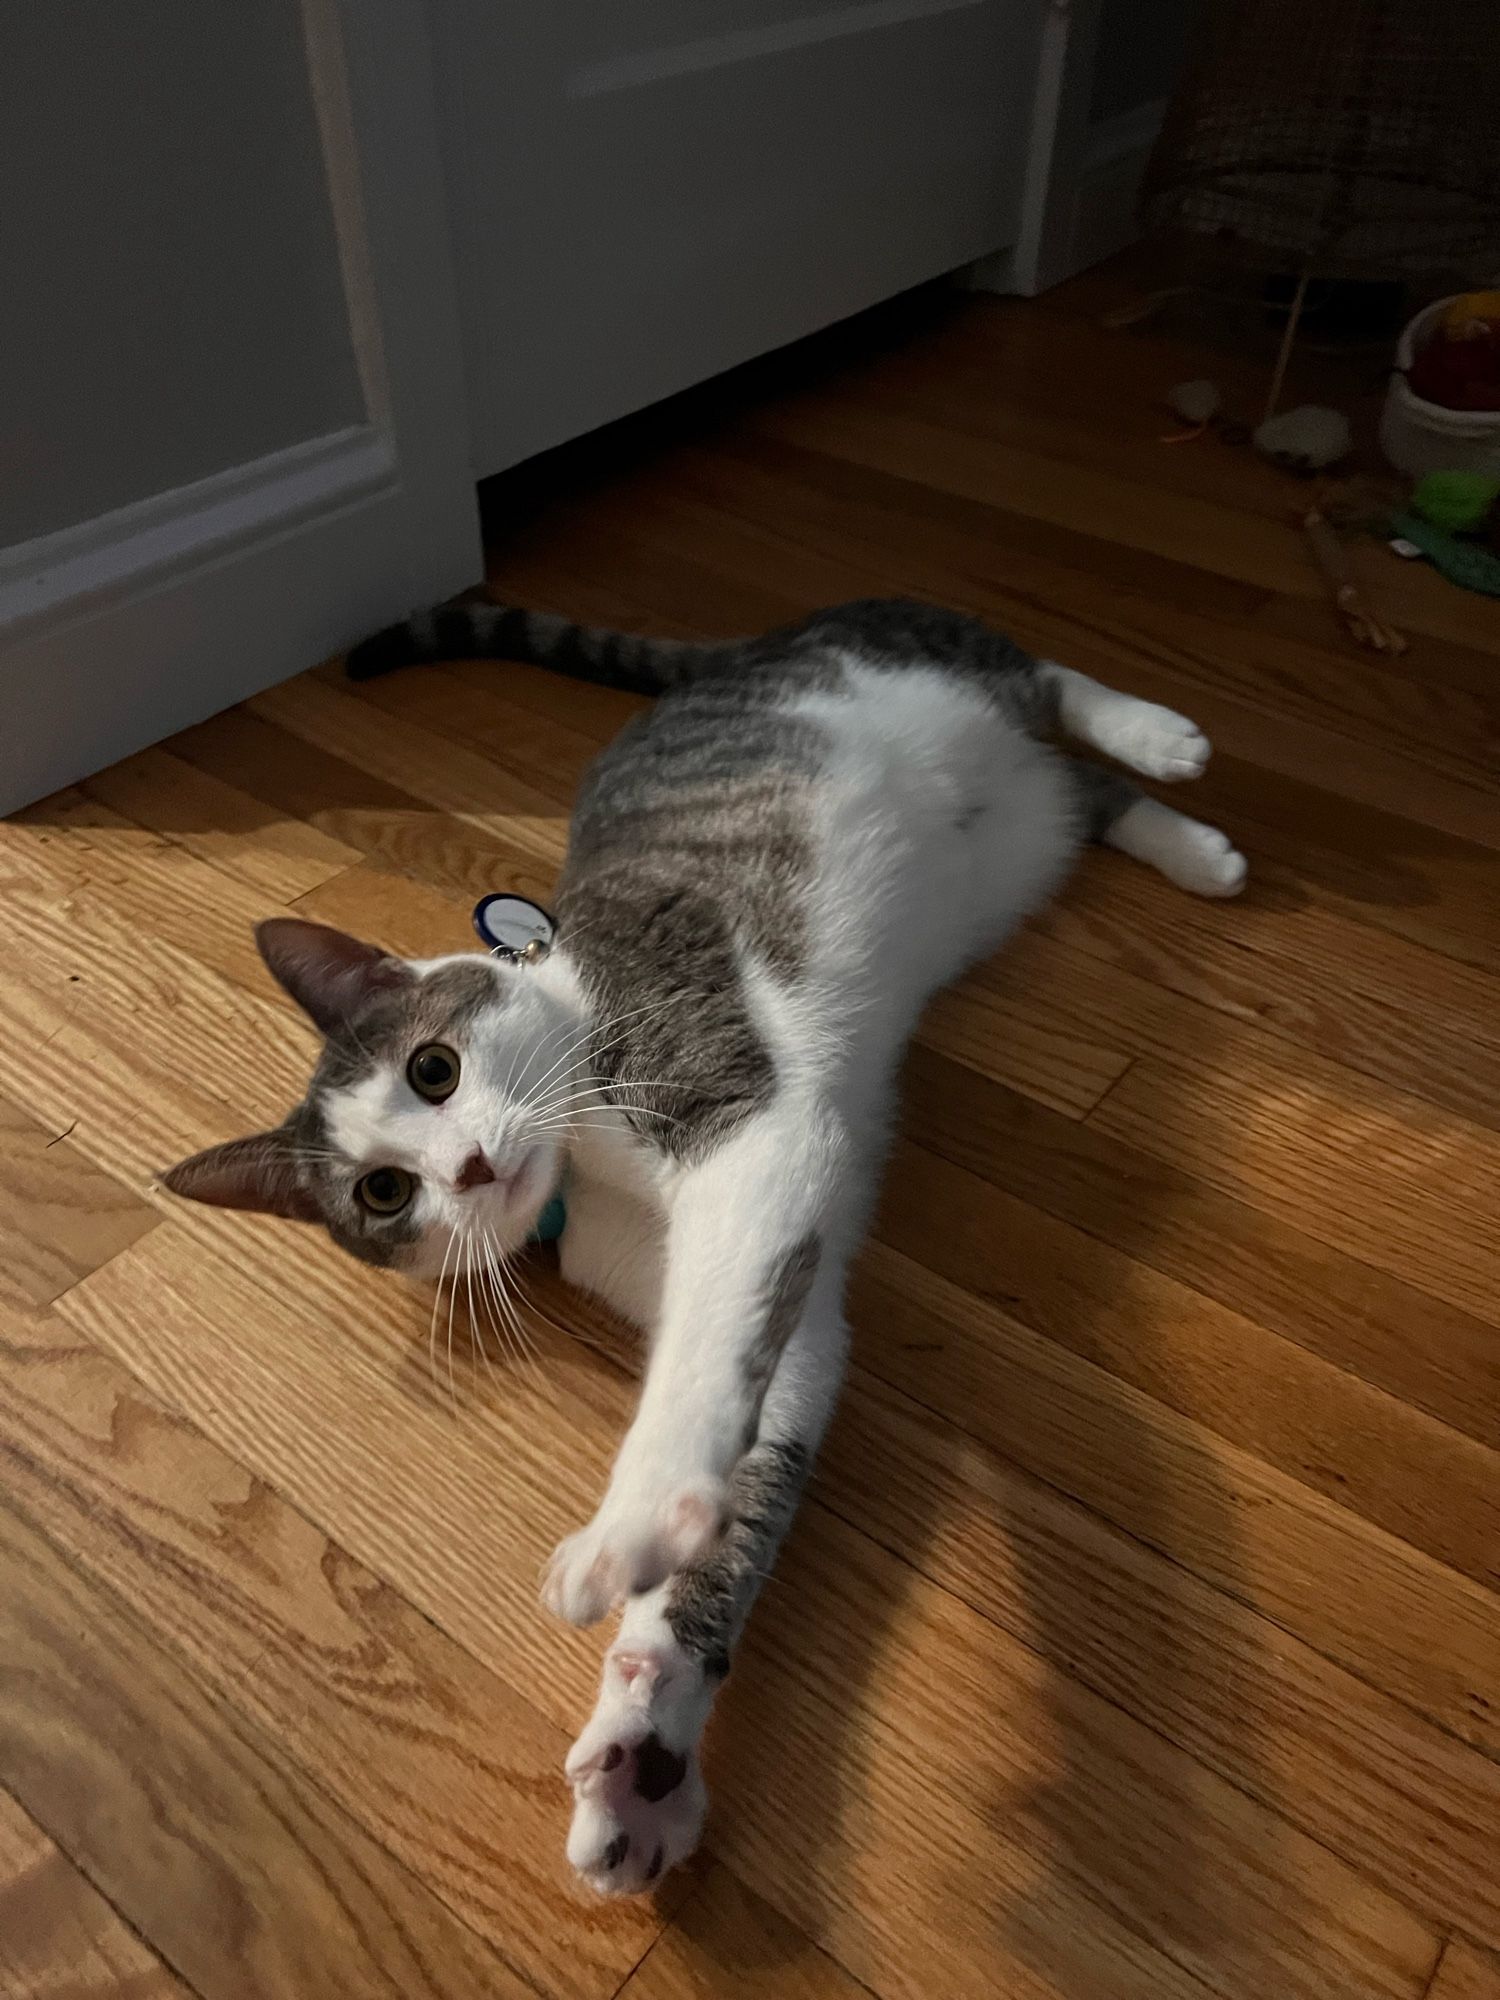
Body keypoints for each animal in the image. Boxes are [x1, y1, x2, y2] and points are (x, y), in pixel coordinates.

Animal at [164, 596, 1248, 1888]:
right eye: (384, 1192)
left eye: (433, 1067)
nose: (469, 1168)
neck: (585, 1159)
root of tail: (757, 645)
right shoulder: (771, 1288)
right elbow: (770, 1393)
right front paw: (645, 1736)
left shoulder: (745, 1120)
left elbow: (698, 1360)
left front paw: (631, 1517)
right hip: (1012, 849)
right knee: (1073, 794)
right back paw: (1184, 840)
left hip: (921, 666)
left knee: (1033, 672)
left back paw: (1164, 742)